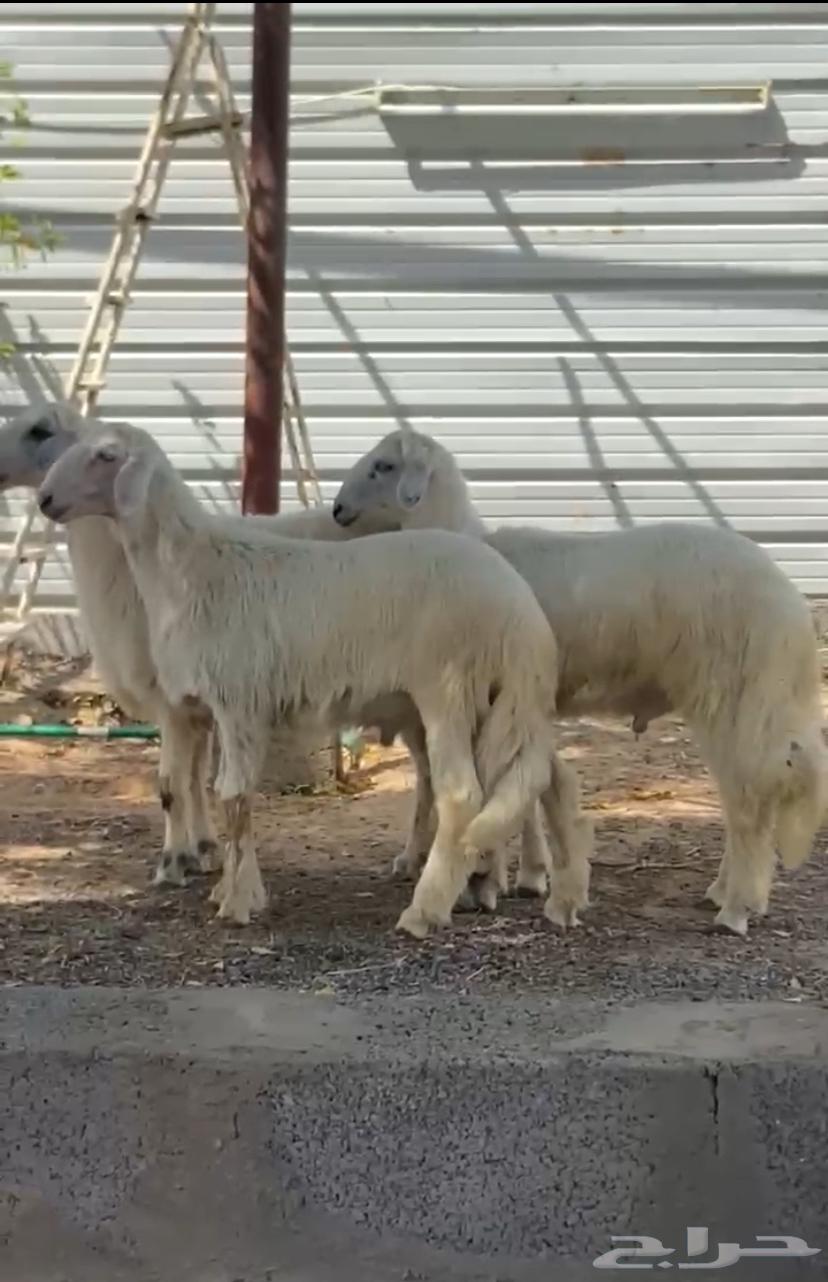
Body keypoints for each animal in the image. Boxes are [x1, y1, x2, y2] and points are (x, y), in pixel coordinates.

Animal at [0, 402, 400, 888]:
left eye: (40, 431)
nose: (44, 499)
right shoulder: (197, 703)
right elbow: (195, 779)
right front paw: (204, 848)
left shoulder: (173, 697)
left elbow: (173, 784)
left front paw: (174, 860)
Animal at [35, 420, 594, 935]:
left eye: (106, 455)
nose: (44, 500)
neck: (190, 569)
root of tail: (520, 608)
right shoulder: (209, 708)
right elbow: (212, 794)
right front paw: (230, 887)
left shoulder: (237, 702)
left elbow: (233, 797)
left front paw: (237, 902)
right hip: (495, 701)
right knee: (536, 781)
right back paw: (539, 895)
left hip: (450, 690)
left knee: (462, 794)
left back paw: (426, 909)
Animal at [332, 425, 828, 937]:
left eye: (384, 466)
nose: (337, 510)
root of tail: (790, 601)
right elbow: (526, 794)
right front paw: (529, 875)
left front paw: (502, 878)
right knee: (745, 792)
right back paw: (727, 892)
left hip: (730, 695)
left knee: (750, 795)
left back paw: (736, 908)